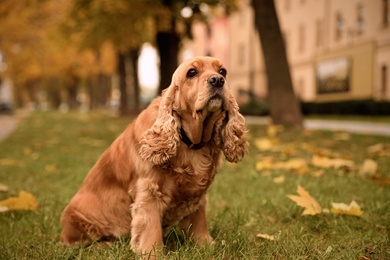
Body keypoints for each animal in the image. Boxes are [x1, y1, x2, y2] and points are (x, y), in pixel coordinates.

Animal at [58, 55, 247, 256]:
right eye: (192, 72)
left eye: (222, 71)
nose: (218, 80)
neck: (189, 141)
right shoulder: (149, 191)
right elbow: (150, 229)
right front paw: (152, 253)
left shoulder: (198, 196)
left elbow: (199, 223)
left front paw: (206, 246)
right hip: (81, 220)